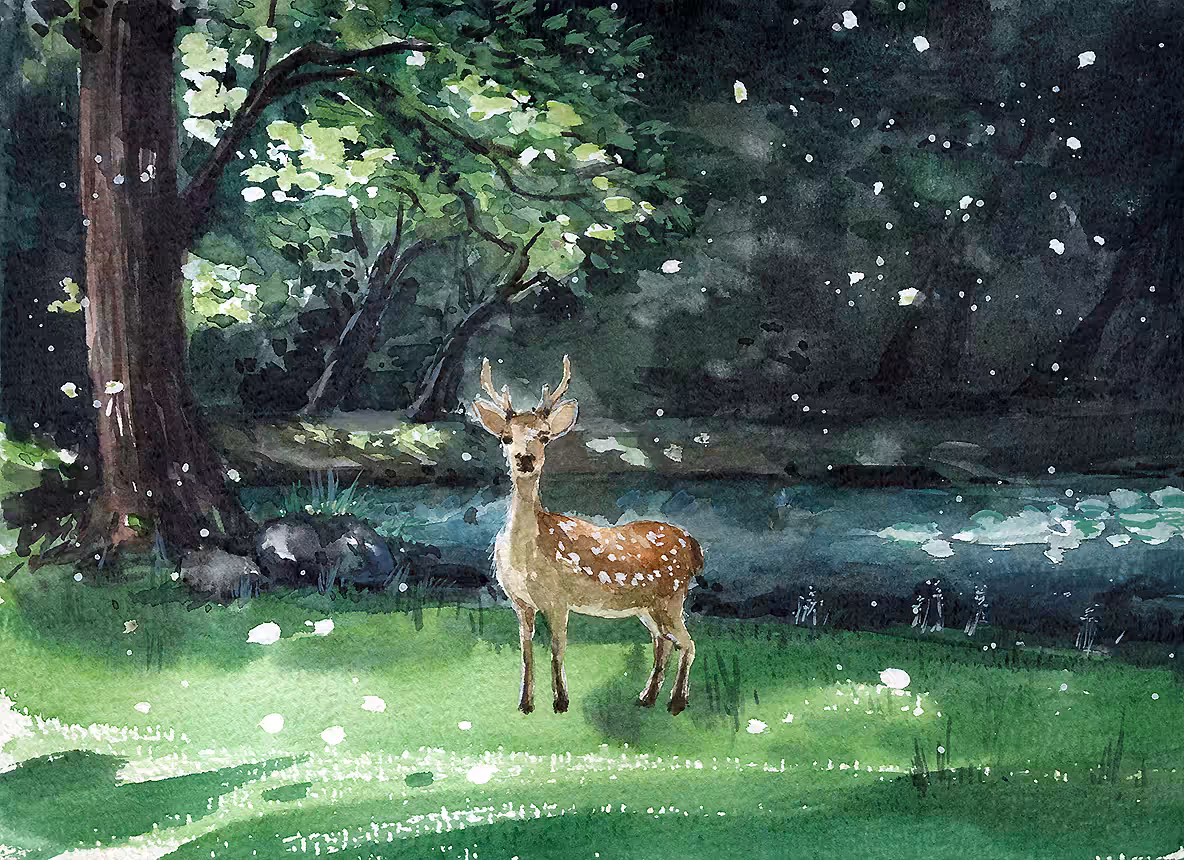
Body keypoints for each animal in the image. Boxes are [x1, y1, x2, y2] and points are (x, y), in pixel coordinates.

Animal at [472, 356, 704, 716]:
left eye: (544, 436)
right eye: (506, 437)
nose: (526, 459)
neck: (525, 556)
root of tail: (694, 546)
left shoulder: (558, 598)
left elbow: (557, 649)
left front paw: (561, 702)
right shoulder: (519, 602)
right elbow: (526, 653)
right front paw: (525, 704)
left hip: (672, 596)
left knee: (688, 643)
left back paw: (677, 702)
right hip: (647, 606)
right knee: (664, 643)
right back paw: (646, 698)